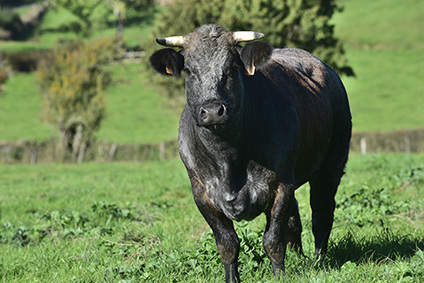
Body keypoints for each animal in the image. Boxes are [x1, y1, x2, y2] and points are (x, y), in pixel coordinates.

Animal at [149, 25, 352, 283]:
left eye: (231, 67)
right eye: (189, 70)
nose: (213, 111)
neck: (228, 160)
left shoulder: (280, 185)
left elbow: (273, 240)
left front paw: (280, 276)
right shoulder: (201, 193)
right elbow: (227, 244)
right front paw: (232, 278)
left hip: (332, 162)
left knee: (322, 212)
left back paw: (318, 259)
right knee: (294, 221)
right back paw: (299, 257)